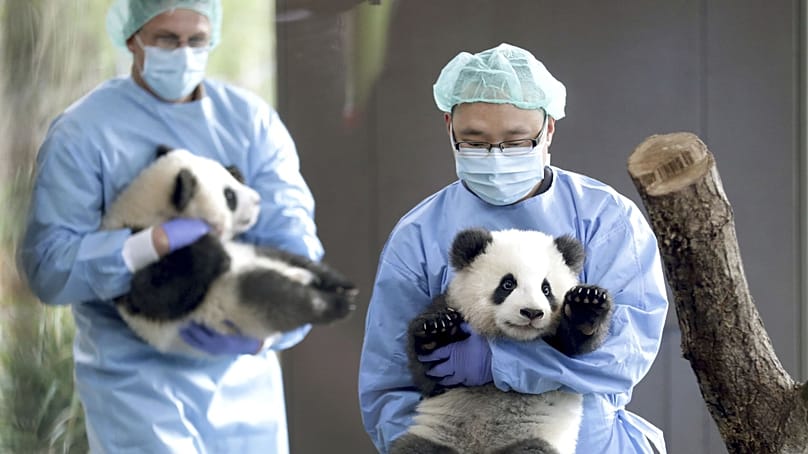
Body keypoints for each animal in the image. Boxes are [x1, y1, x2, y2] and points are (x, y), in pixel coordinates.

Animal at [102, 145, 357, 356]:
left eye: (229, 177)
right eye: (229, 196)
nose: (257, 200)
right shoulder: (135, 262)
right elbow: (162, 293)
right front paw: (210, 248)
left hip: (258, 254)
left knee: (296, 259)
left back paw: (340, 284)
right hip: (240, 299)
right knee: (286, 299)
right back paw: (335, 303)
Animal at [391, 227, 613, 454]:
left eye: (546, 289)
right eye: (508, 284)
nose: (532, 312)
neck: (510, 337)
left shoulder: (561, 352)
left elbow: (572, 354)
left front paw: (586, 304)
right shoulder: (451, 304)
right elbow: (427, 375)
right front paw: (437, 329)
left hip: (534, 437)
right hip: (437, 433)